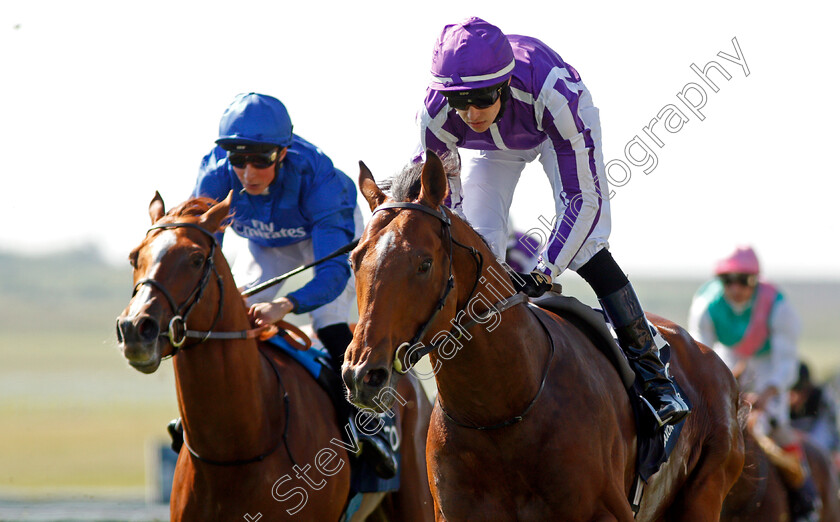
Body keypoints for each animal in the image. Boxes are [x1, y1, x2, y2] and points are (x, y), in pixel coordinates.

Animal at [338, 151, 744, 520]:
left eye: (424, 263)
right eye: (354, 260)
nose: (362, 375)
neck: (501, 412)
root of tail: (711, 361)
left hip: (704, 494)